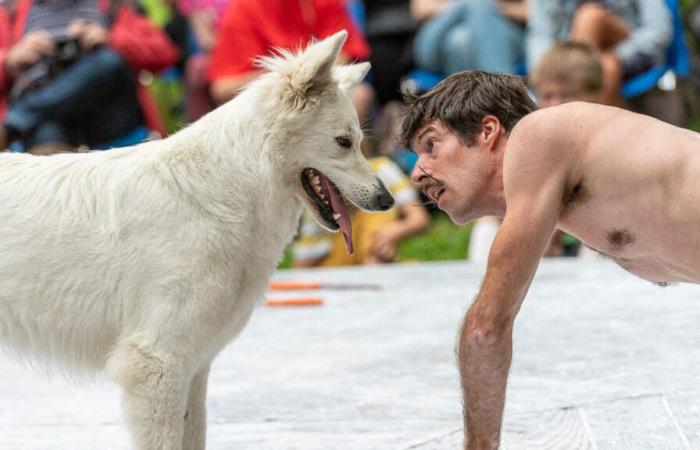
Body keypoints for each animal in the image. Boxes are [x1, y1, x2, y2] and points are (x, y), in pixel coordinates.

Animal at [0, 29, 394, 448]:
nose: (386, 199)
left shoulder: (194, 366)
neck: (220, 193)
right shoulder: (157, 363)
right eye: (343, 142)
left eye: (357, 141)